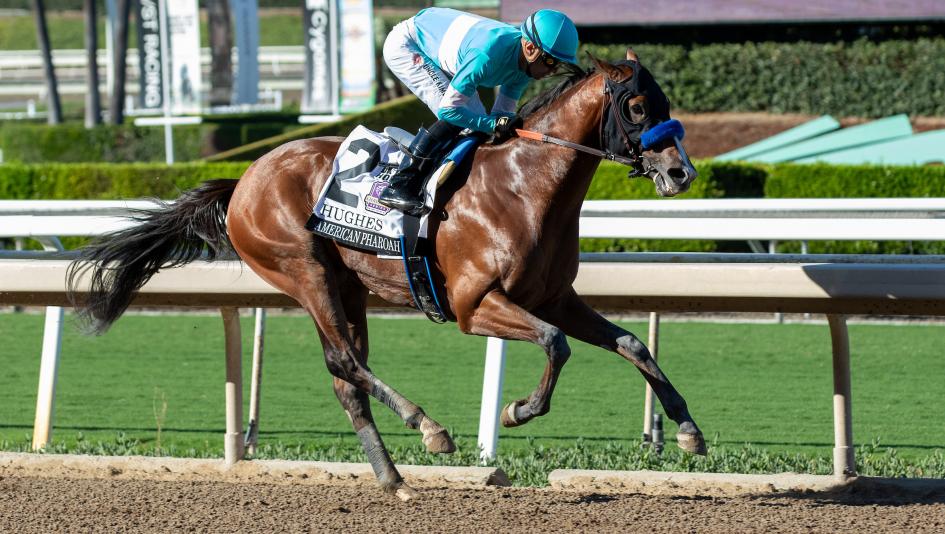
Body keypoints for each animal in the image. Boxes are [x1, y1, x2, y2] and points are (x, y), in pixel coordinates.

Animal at [67, 49, 704, 500]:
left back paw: (392, 478)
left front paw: (688, 430)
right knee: (347, 362)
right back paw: (428, 427)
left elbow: (631, 344)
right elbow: (555, 344)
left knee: (345, 378)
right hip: (304, 270)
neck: (525, 185)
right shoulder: (475, 306)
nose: (681, 173)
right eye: (638, 108)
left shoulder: (553, 297)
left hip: (349, 287)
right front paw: (516, 410)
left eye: (666, 102)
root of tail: (244, 178)